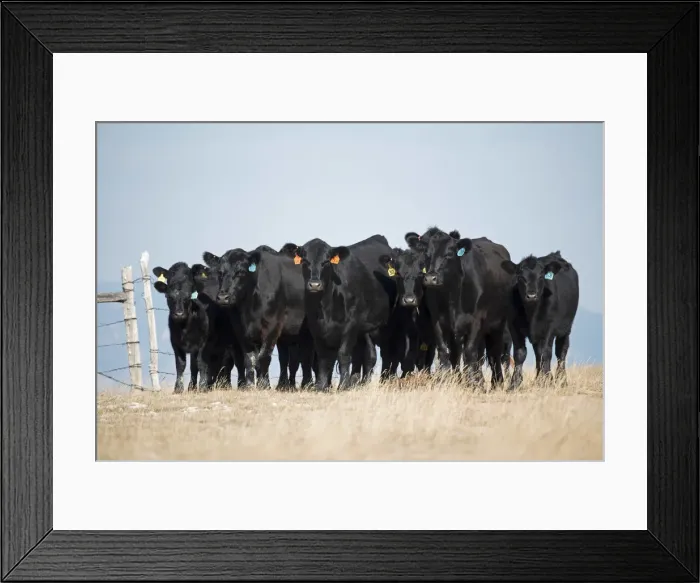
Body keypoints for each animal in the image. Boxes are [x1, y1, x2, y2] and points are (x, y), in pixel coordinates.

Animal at [153, 261, 239, 393]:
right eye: (168, 297)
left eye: (188, 296)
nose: (179, 314)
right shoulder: (176, 343)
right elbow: (181, 365)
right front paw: (179, 388)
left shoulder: (204, 343)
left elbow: (201, 363)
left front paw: (203, 386)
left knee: (227, 364)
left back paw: (225, 385)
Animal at [280, 234, 396, 391]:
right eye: (305, 261)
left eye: (326, 262)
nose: (315, 285)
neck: (325, 307)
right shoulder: (316, 327)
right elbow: (323, 357)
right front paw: (321, 386)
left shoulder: (350, 326)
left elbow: (343, 354)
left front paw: (343, 385)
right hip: (364, 331)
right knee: (365, 355)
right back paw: (357, 382)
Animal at [377, 242, 436, 378]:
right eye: (398, 273)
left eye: (420, 274)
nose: (409, 300)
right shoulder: (389, 340)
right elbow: (389, 365)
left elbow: (410, 363)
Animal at [405, 227, 514, 389]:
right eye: (427, 254)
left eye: (449, 254)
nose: (430, 278)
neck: (452, 294)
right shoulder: (438, 322)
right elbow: (444, 352)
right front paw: (445, 380)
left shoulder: (476, 321)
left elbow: (469, 352)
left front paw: (472, 383)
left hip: (498, 324)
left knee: (494, 353)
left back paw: (496, 383)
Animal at [501, 250, 579, 388]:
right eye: (520, 277)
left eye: (541, 277)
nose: (531, 295)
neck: (531, 313)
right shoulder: (513, 326)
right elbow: (520, 354)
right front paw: (514, 384)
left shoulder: (549, 327)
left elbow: (546, 353)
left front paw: (548, 381)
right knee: (538, 353)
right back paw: (539, 380)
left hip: (566, 328)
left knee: (561, 351)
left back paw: (561, 380)